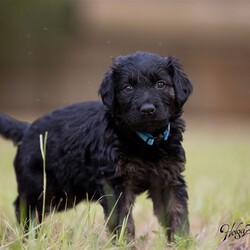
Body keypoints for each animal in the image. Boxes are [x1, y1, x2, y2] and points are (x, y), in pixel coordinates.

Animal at [0, 51, 193, 242]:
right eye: (127, 88)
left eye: (161, 84)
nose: (147, 109)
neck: (146, 142)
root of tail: (26, 130)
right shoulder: (115, 183)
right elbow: (122, 220)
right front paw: (125, 243)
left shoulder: (169, 180)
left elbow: (176, 212)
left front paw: (182, 241)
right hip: (41, 186)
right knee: (25, 207)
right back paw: (28, 236)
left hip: (64, 195)